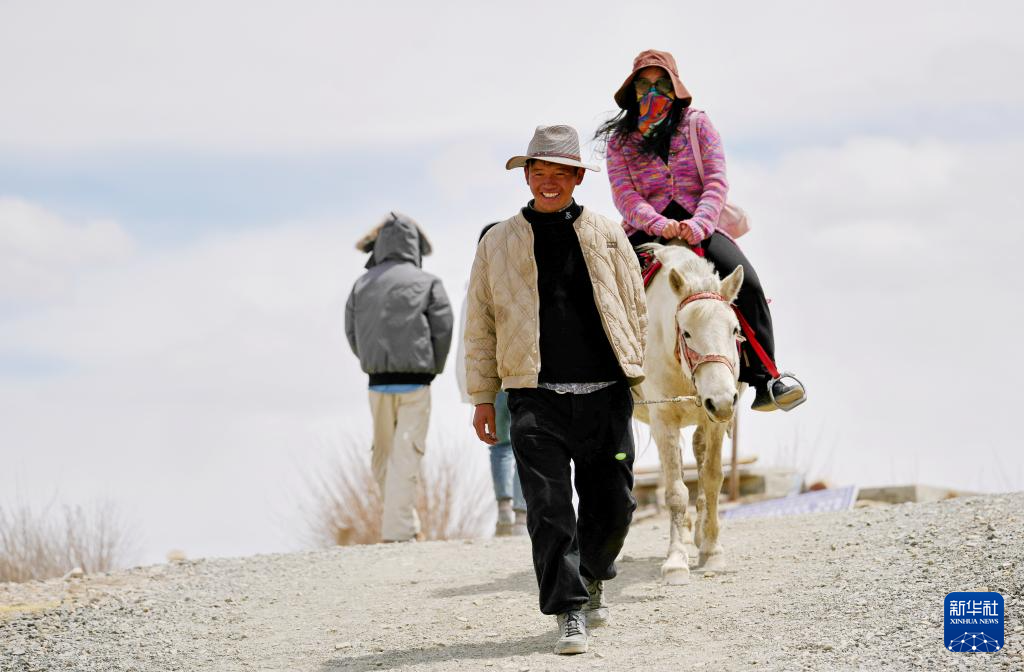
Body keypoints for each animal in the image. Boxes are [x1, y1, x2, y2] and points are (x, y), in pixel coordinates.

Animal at [633, 242, 745, 585]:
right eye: (686, 333)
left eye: (734, 329)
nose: (721, 401)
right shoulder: (663, 419)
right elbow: (675, 491)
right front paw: (675, 562)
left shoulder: (716, 421)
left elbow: (711, 477)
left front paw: (712, 550)